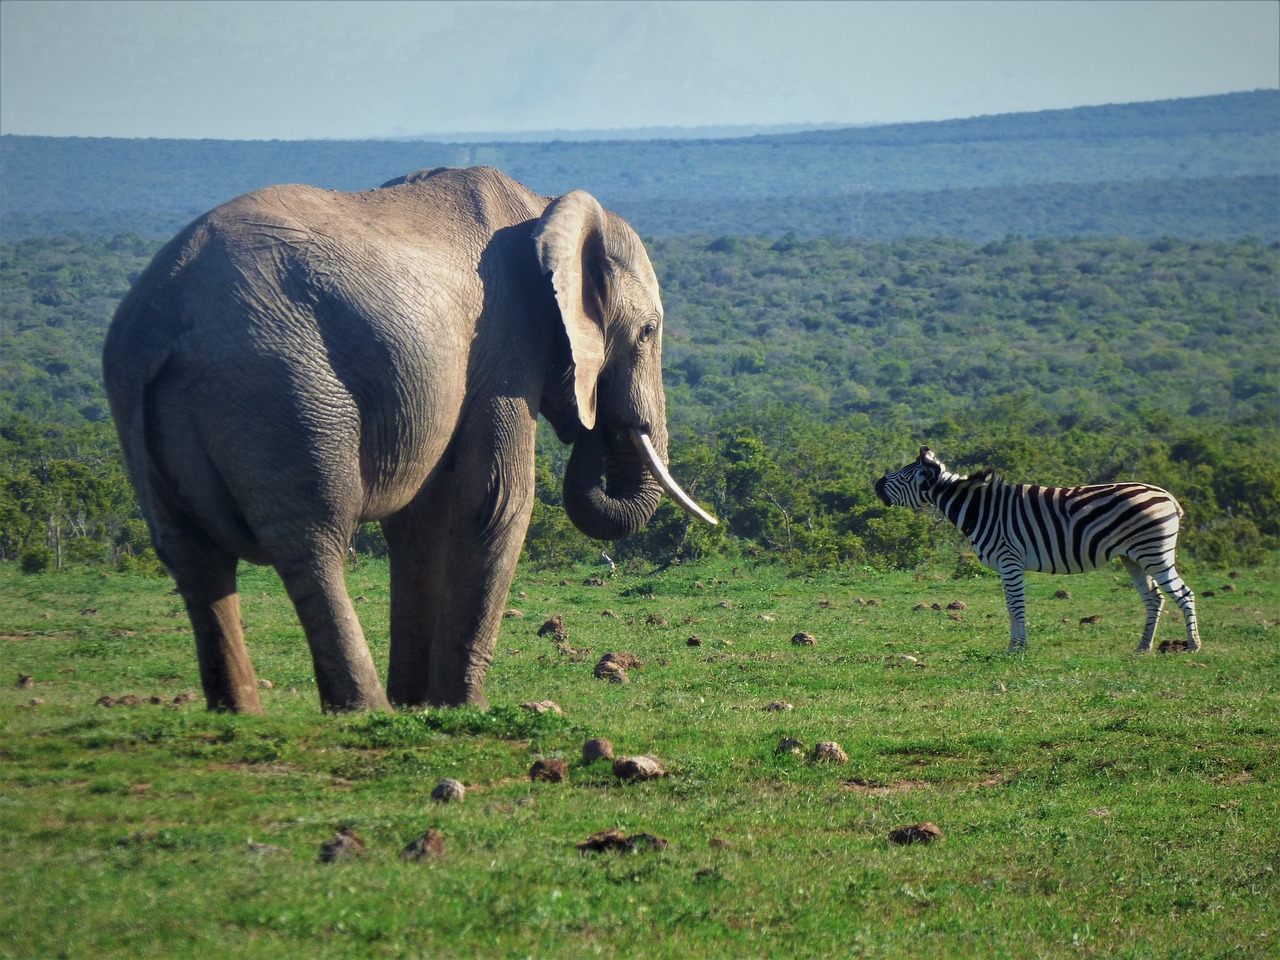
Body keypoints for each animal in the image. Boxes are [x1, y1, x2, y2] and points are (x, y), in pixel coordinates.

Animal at [104, 167, 716, 716]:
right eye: (648, 332)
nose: (593, 416)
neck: (545, 207)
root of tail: (159, 318)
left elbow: (419, 524)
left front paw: (417, 703)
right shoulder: (506, 337)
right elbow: (496, 501)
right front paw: (464, 708)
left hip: (144, 407)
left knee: (191, 555)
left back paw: (242, 713)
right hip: (277, 386)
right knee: (313, 536)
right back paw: (364, 710)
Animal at [870, 448, 1198, 660]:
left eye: (904, 475)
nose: (875, 484)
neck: (979, 509)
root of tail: (1168, 496)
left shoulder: (1009, 560)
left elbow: (1015, 606)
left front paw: (1017, 648)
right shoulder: (1007, 564)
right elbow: (1010, 606)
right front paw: (1015, 644)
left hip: (1154, 551)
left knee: (1184, 593)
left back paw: (1193, 646)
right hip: (1132, 557)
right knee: (1154, 598)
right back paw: (1143, 647)